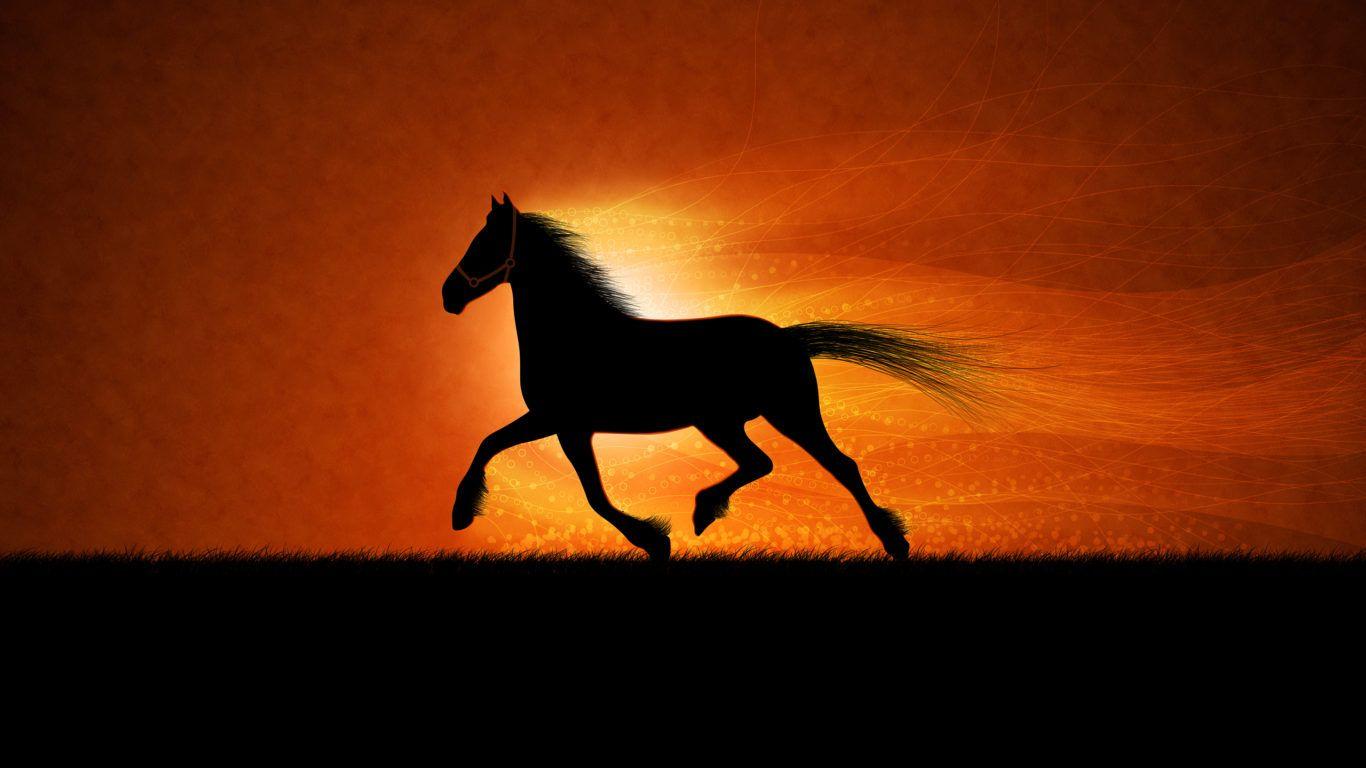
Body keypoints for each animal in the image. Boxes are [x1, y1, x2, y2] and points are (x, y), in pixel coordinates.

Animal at [442, 194, 996, 561]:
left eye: (484, 244)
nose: (449, 295)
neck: (574, 333)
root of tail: (788, 337)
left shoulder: (564, 422)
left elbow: (585, 491)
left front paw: (654, 540)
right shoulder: (560, 423)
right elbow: (497, 445)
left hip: (782, 414)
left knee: (837, 465)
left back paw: (892, 541)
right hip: (727, 422)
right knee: (764, 463)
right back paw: (707, 511)